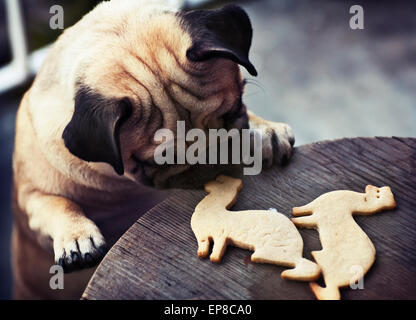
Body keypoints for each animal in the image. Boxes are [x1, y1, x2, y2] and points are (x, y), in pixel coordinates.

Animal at [11, 0, 294, 300]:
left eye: (234, 111)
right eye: (162, 159)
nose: (214, 161)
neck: (123, 184)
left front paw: (264, 131)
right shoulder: (30, 196)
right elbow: (56, 203)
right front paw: (77, 236)